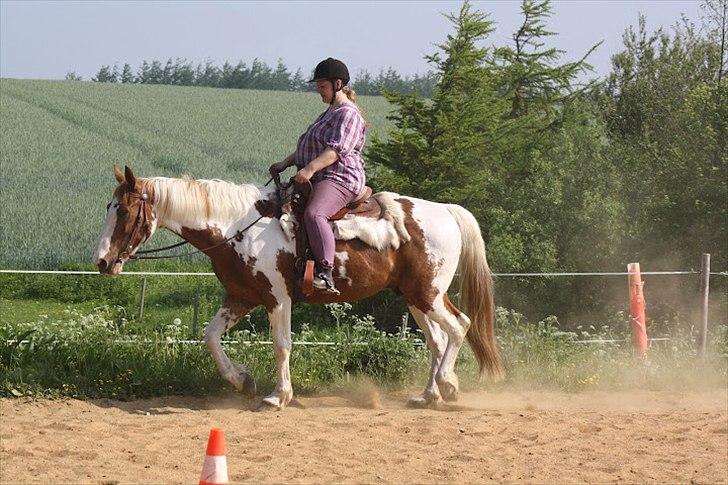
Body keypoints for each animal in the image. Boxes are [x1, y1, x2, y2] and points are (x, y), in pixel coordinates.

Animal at [94, 164, 504, 406]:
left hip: (429, 293)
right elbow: (210, 337)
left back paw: (447, 385)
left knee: (460, 326)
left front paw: (279, 395)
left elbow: (281, 345)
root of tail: (447, 210)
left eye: (124, 210)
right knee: (438, 339)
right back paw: (428, 394)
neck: (237, 227)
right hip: (414, 297)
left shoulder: (277, 298)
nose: (101, 261)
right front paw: (242, 381)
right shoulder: (241, 297)